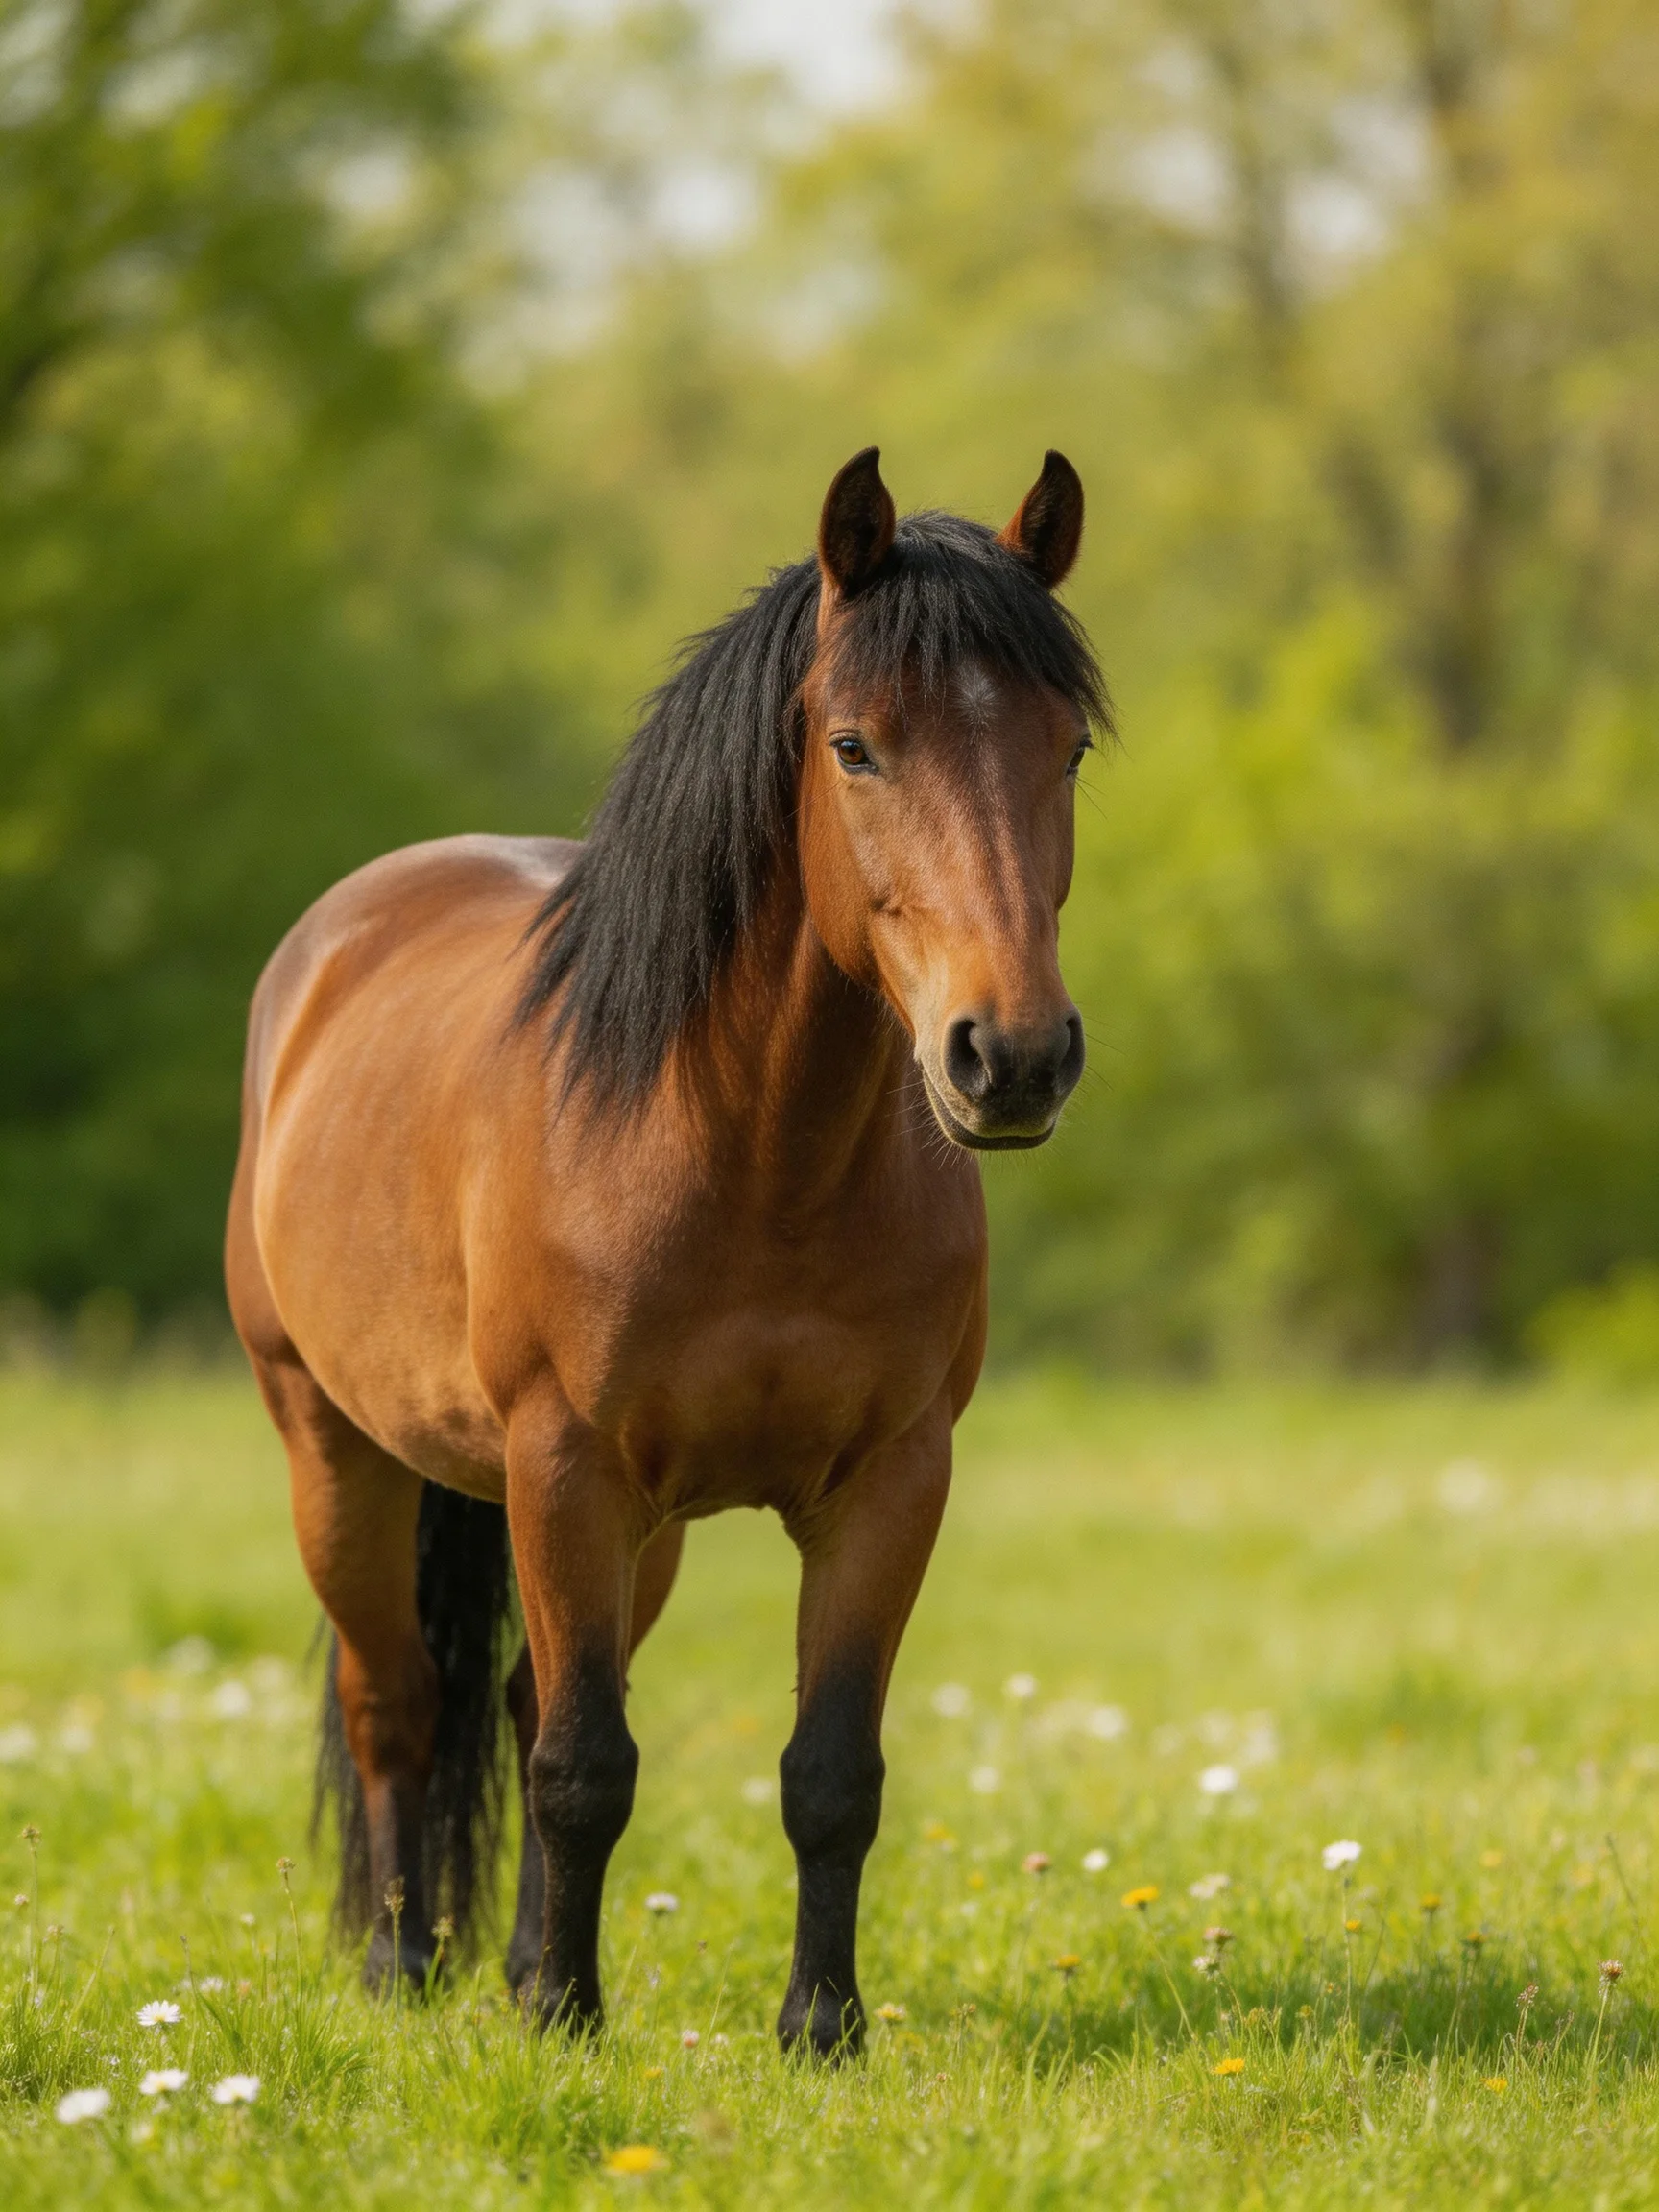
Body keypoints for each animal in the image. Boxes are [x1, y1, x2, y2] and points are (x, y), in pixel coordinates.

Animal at [224, 446, 1108, 2056]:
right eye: (854, 747)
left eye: (1066, 751)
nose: (1011, 1058)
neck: (757, 1155)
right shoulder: (563, 1467)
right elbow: (584, 1766)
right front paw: (569, 2023)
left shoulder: (891, 1483)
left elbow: (828, 1772)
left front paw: (819, 2029)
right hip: (335, 1445)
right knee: (400, 1703)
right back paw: (402, 1968)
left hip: (646, 1528)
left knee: (513, 1701)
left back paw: (507, 1965)